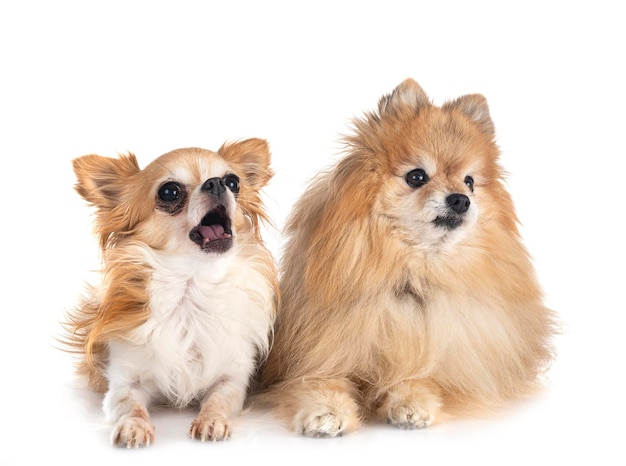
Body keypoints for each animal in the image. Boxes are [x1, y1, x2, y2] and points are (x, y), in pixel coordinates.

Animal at [62, 140, 274, 446]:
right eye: (169, 191)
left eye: (234, 182)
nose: (216, 183)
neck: (192, 285)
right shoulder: (124, 381)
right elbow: (129, 404)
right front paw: (133, 426)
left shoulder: (233, 376)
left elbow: (220, 398)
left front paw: (212, 420)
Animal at [260, 79, 556, 436]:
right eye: (417, 176)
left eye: (470, 182)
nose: (460, 199)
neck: (414, 272)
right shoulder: (323, 352)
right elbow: (320, 380)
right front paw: (326, 411)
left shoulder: (450, 360)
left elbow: (423, 378)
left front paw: (412, 404)